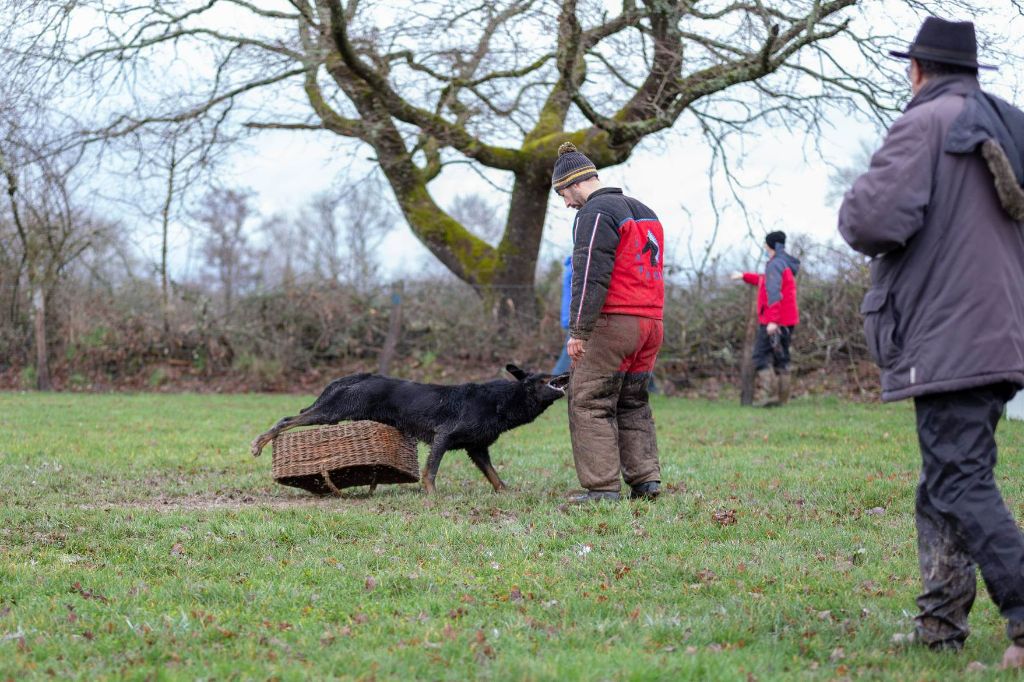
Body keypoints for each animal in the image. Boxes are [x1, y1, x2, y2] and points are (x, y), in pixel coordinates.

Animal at [247, 364, 569, 491]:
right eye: (544, 377)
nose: (567, 372)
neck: (503, 401)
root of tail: (357, 377)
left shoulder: (476, 449)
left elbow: (495, 477)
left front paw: (506, 493)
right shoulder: (444, 436)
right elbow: (431, 471)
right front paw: (431, 496)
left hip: (332, 411)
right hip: (332, 411)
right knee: (287, 420)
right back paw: (260, 442)